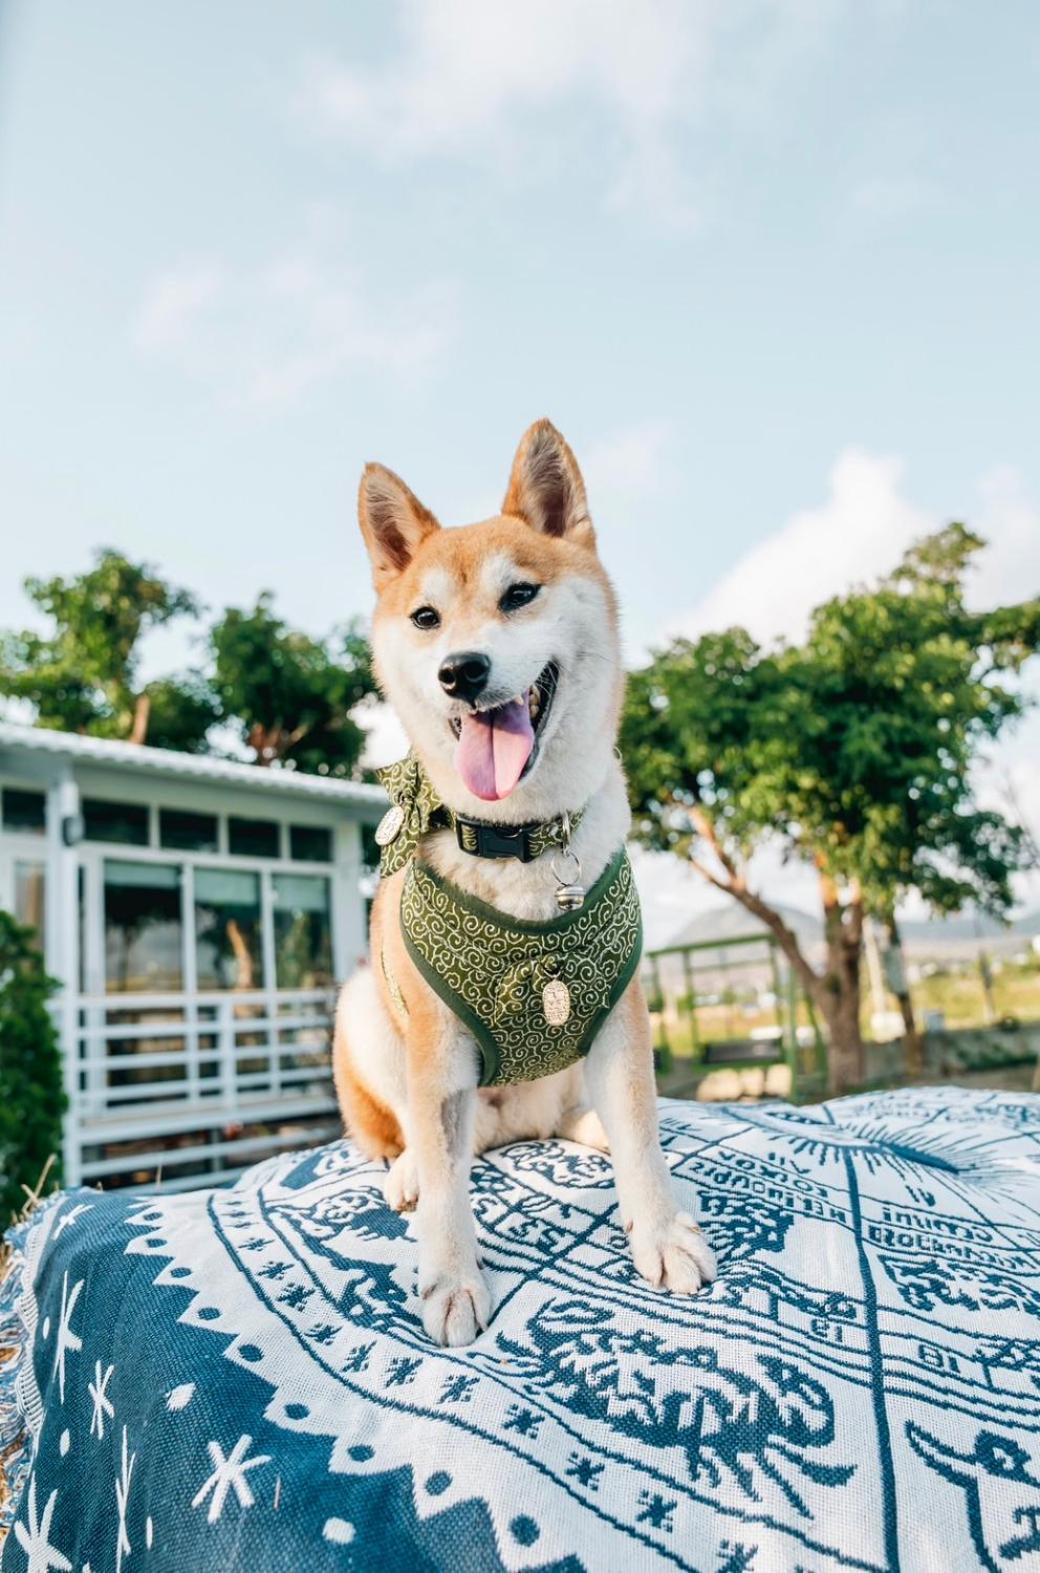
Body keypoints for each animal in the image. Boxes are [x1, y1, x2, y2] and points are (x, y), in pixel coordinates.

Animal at [331, 421, 714, 1352]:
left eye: (520, 595)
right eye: (426, 617)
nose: (460, 670)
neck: (524, 843)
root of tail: (507, 1124)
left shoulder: (618, 1005)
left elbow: (642, 1130)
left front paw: (658, 1228)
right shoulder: (436, 1045)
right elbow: (447, 1183)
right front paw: (451, 1275)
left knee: (579, 1118)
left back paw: (595, 1134)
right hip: (364, 1011)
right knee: (420, 1143)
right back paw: (408, 1173)